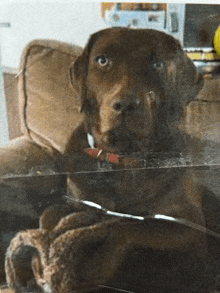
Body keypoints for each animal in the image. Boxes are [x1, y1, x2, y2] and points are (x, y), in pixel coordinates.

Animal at [5, 28, 220, 292]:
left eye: (158, 64)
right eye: (102, 60)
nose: (125, 104)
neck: (123, 158)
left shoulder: (188, 223)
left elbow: (127, 224)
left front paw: (91, 264)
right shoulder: (79, 201)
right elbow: (50, 213)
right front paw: (37, 261)